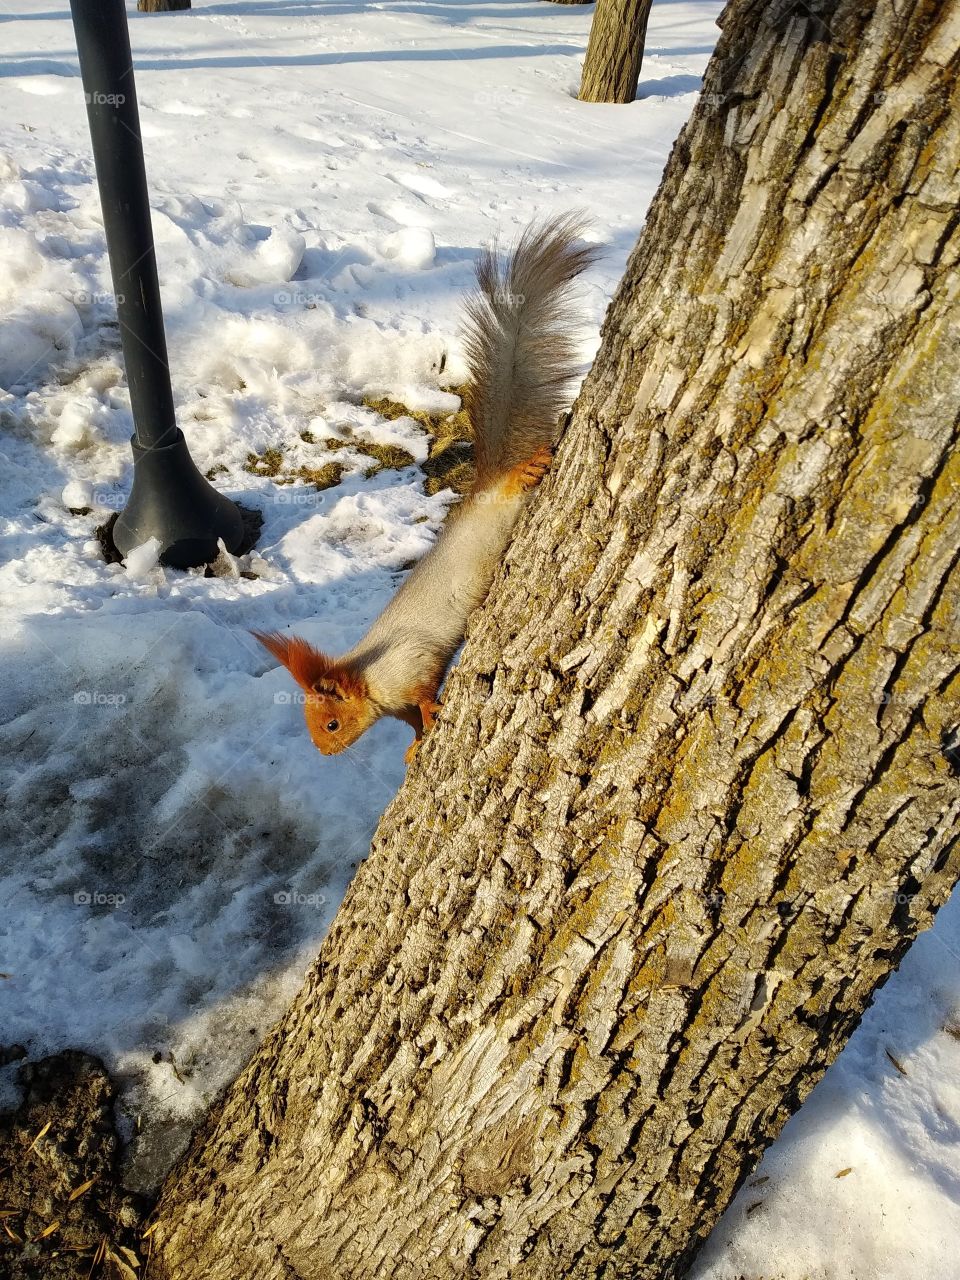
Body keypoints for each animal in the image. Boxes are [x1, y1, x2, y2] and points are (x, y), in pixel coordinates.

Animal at [254, 214, 598, 762]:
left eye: (330, 724)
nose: (325, 754)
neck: (369, 679)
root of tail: (484, 486)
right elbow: (411, 721)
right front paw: (415, 746)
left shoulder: (410, 665)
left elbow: (423, 692)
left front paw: (432, 715)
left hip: (503, 508)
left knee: (513, 486)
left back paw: (526, 469)